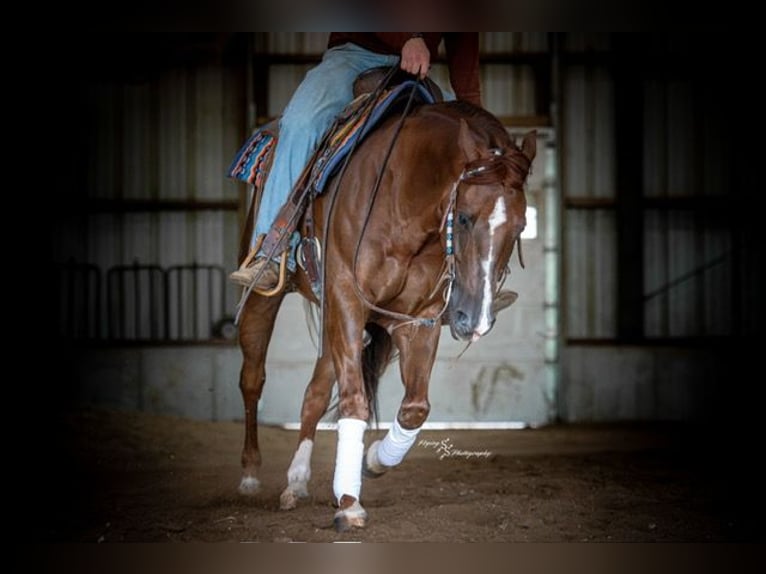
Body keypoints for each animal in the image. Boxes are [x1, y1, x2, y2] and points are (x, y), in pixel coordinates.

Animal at [235, 91, 536, 531]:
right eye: (463, 218)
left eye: (520, 227)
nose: (473, 320)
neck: (404, 198)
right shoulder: (347, 298)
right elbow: (354, 401)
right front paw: (348, 503)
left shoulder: (417, 319)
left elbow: (414, 409)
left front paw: (374, 460)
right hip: (267, 296)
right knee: (253, 378)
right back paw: (250, 474)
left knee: (314, 393)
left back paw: (297, 480)